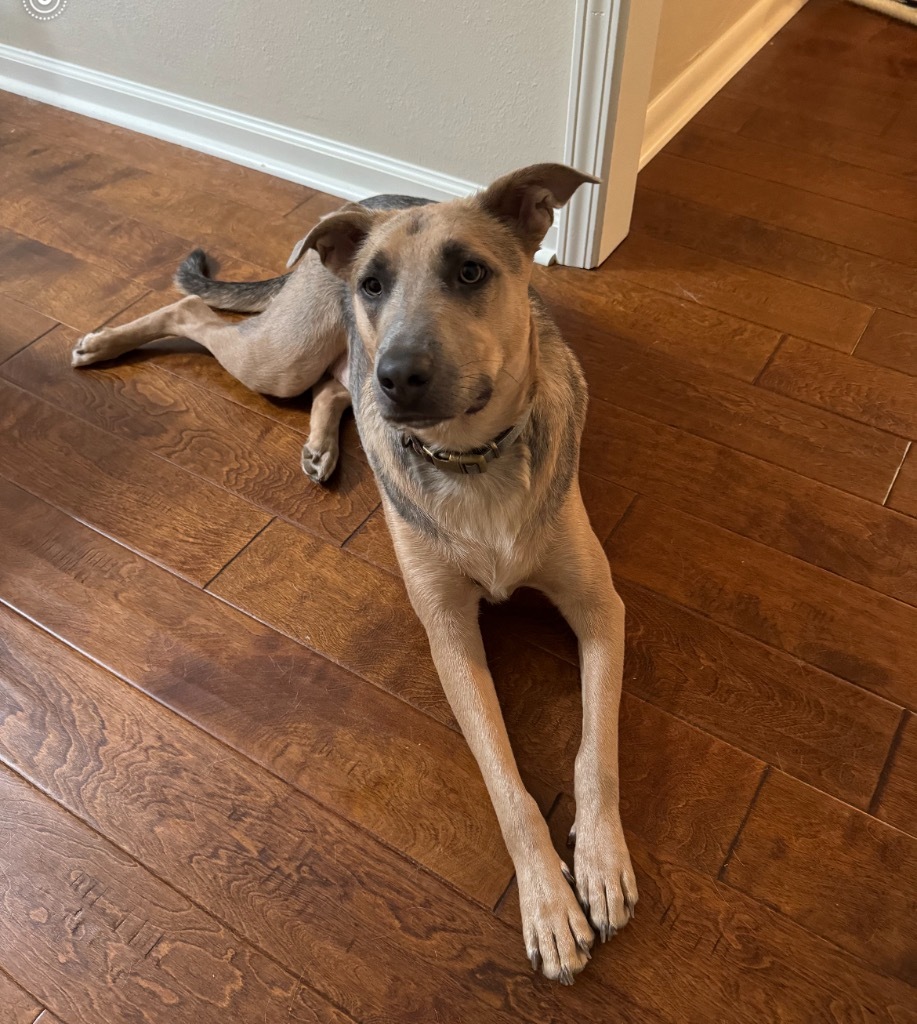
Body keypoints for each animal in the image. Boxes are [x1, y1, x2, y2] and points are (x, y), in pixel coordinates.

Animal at [73, 163, 638, 978]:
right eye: (372, 285)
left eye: (471, 272)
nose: (399, 374)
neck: (472, 459)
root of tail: (368, 199)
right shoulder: (450, 637)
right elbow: (507, 787)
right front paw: (546, 901)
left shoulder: (599, 608)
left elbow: (598, 753)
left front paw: (599, 859)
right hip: (281, 355)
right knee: (204, 315)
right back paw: (107, 340)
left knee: (334, 383)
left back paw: (322, 441)